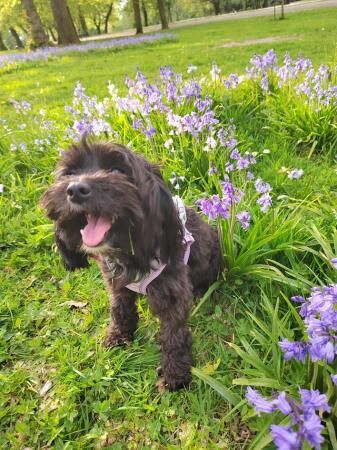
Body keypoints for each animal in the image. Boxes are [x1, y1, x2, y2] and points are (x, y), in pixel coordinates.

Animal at [40, 141, 219, 390]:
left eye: (117, 170)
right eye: (70, 172)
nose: (75, 189)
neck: (127, 251)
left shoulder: (172, 294)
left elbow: (173, 334)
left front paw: (175, 373)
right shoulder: (116, 284)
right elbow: (120, 310)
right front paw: (118, 337)